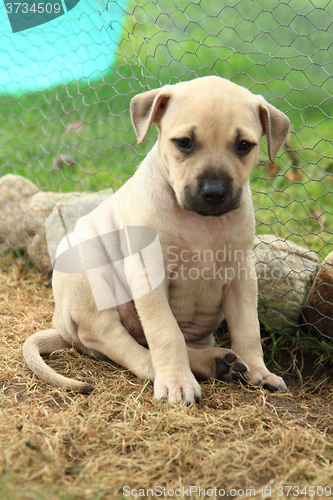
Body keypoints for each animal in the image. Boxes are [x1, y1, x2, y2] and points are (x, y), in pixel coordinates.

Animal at [22, 76, 288, 404]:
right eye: (184, 142)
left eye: (244, 146)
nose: (214, 193)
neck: (201, 222)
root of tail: (60, 325)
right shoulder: (149, 273)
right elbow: (166, 332)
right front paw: (176, 383)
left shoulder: (242, 274)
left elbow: (248, 328)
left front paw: (259, 371)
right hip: (87, 274)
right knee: (119, 342)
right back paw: (180, 367)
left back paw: (216, 361)